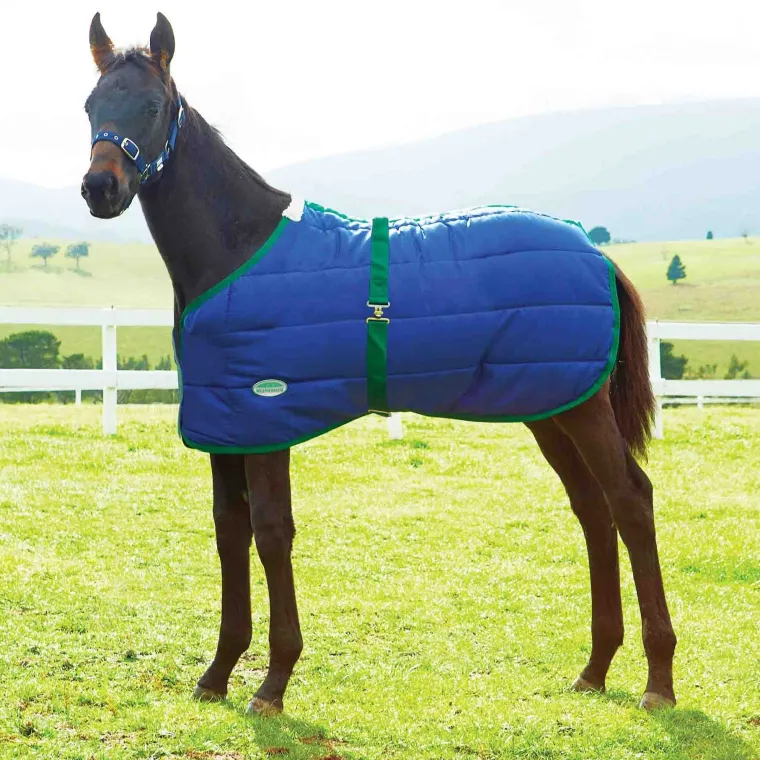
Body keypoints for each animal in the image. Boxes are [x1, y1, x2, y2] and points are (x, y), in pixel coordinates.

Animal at [80, 12, 677, 716]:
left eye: (151, 106)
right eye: (90, 105)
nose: (100, 188)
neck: (239, 249)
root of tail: (596, 253)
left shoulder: (266, 419)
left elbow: (271, 531)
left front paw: (273, 682)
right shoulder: (225, 426)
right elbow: (230, 533)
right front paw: (219, 672)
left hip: (582, 410)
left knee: (630, 501)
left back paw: (659, 681)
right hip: (550, 408)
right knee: (593, 510)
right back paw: (595, 669)